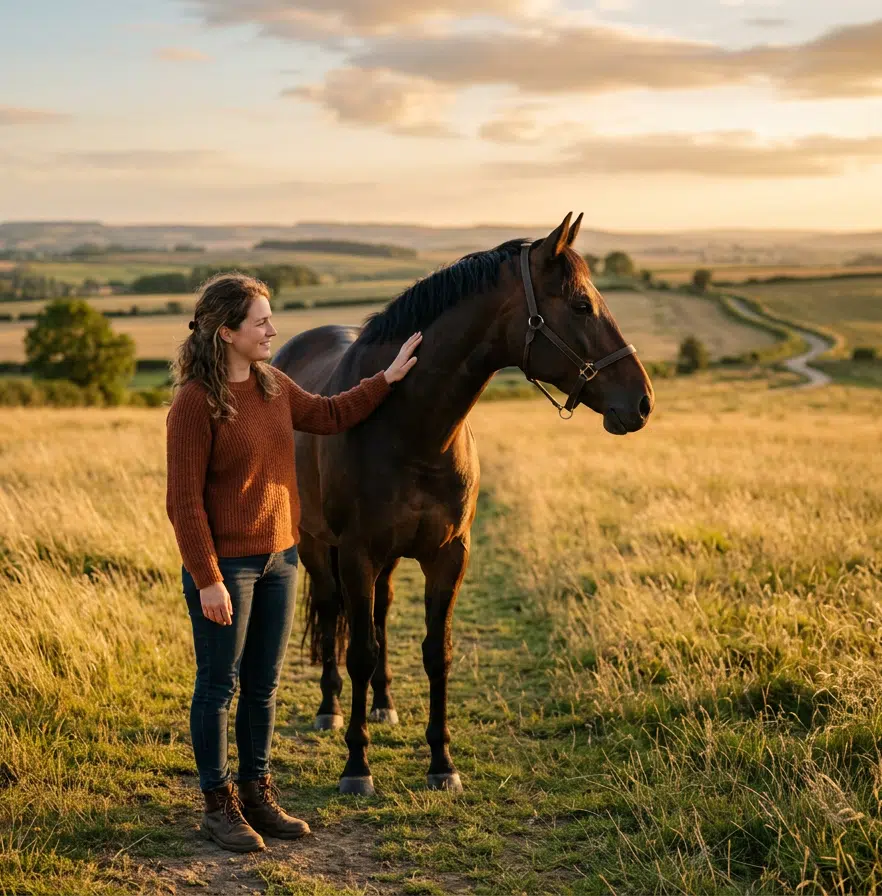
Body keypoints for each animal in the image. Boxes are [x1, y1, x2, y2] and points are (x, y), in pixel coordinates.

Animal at [272, 213, 654, 795]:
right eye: (581, 305)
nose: (642, 401)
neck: (409, 427)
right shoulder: (357, 553)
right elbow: (358, 651)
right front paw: (357, 766)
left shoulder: (448, 556)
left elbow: (436, 653)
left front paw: (441, 762)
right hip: (319, 545)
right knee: (337, 614)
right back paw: (330, 710)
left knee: (380, 614)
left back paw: (383, 703)